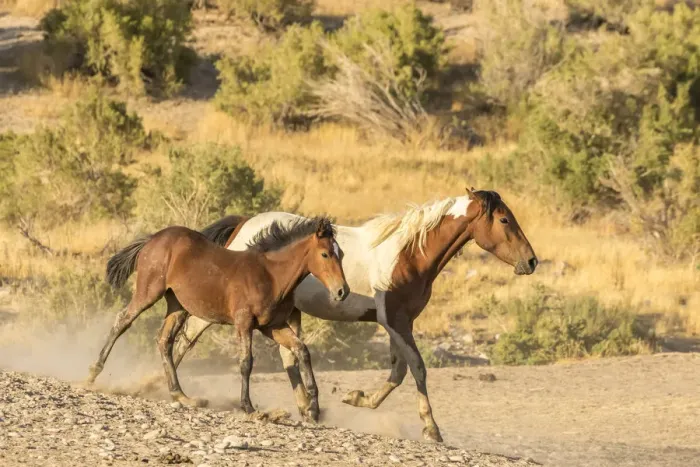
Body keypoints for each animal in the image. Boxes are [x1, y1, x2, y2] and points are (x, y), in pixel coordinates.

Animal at [85, 216, 349, 422]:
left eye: (342, 254)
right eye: (325, 254)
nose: (341, 292)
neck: (271, 276)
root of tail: (153, 239)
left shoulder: (273, 326)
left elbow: (302, 350)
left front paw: (313, 409)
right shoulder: (244, 323)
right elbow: (246, 362)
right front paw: (249, 408)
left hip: (178, 305)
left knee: (165, 341)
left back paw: (182, 396)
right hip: (149, 292)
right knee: (123, 321)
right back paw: (91, 374)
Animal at [173, 188, 537, 441]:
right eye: (504, 220)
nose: (532, 261)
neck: (408, 254)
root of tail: (243, 225)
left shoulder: (397, 323)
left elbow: (398, 371)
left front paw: (357, 398)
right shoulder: (396, 322)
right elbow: (417, 368)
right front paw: (431, 427)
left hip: (286, 313)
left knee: (289, 355)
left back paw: (307, 409)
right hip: (223, 309)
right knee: (185, 338)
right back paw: (175, 392)